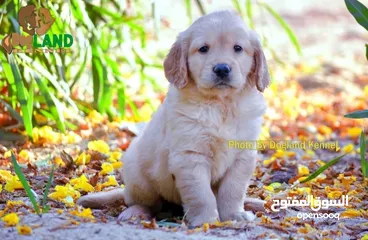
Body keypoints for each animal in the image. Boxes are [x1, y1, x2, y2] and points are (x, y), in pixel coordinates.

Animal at [77, 9, 268, 227]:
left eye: (238, 48)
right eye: (203, 49)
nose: (222, 69)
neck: (221, 105)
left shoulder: (243, 156)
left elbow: (233, 190)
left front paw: (234, 215)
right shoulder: (190, 156)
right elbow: (202, 194)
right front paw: (206, 220)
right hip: (139, 177)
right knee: (144, 203)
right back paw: (136, 212)